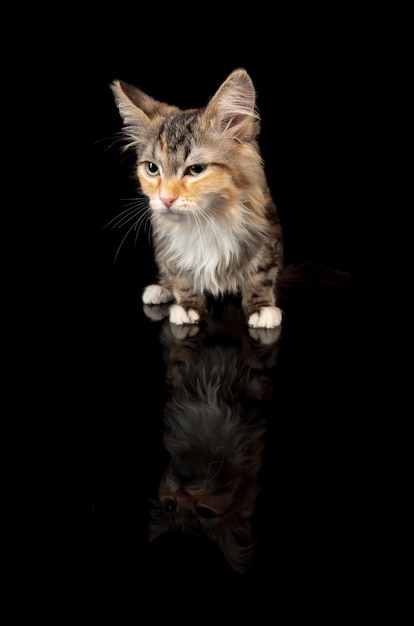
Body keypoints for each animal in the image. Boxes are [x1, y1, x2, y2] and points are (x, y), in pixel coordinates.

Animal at [110, 67, 284, 330]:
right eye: (152, 168)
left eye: (196, 169)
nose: (166, 199)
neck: (204, 221)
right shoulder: (168, 247)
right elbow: (180, 275)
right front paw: (188, 305)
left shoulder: (266, 235)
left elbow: (261, 275)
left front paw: (261, 307)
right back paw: (160, 289)